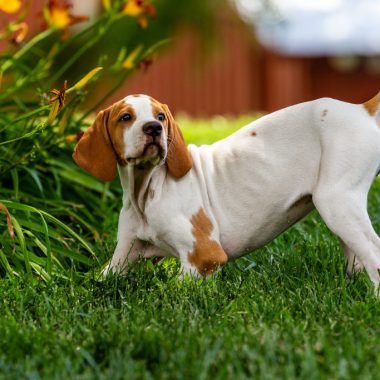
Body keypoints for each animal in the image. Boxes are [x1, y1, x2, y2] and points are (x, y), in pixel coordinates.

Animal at [72, 94, 380, 288]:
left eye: (160, 116)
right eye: (125, 117)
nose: (154, 128)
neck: (145, 192)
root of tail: (360, 109)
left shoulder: (204, 257)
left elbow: (168, 290)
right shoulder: (121, 258)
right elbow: (97, 281)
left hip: (337, 203)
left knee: (374, 255)